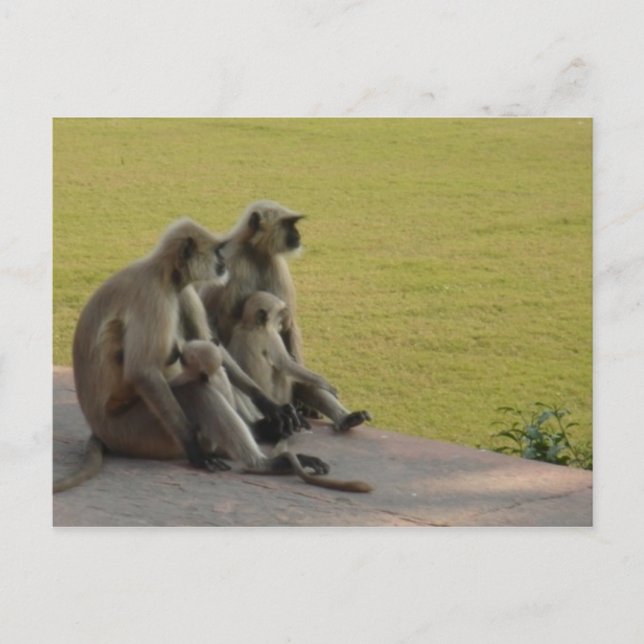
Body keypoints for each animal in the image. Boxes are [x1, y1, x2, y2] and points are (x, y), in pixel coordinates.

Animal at [53, 218, 364, 494]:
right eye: (217, 251)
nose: (223, 263)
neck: (165, 275)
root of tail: (100, 430)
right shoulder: (152, 297)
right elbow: (143, 371)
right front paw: (195, 449)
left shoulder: (184, 290)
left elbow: (212, 342)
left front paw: (272, 407)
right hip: (133, 433)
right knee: (195, 391)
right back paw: (264, 463)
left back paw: (263, 432)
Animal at [200, 199, 371, 432]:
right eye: (289, 224)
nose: (298, 234)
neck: (254, 251)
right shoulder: (229, 261)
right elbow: (210, 326)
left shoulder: (275, 265)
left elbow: (289, 326)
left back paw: (345, 417)